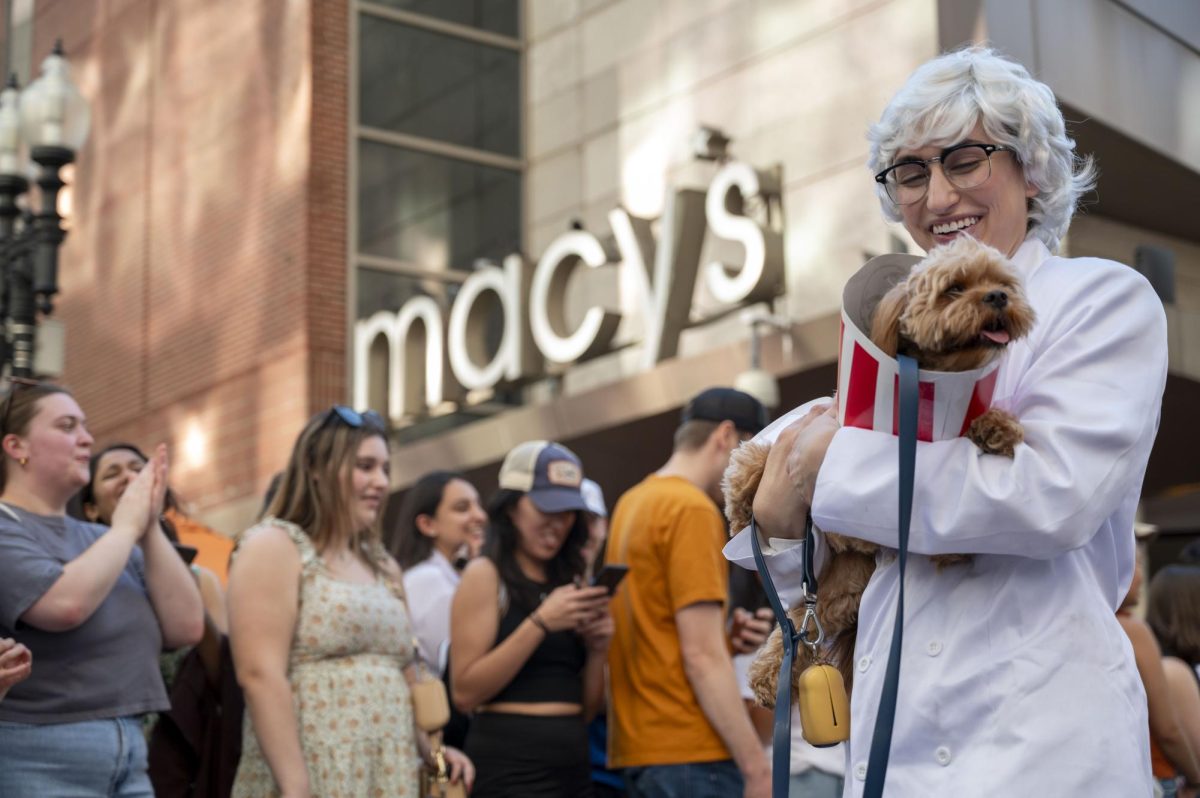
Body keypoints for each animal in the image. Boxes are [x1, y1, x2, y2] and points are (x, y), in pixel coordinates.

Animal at [724, 235, 1036, 705]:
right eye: (954, 288)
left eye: (1002, 283)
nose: (999, 297)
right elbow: (763, 459)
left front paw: (997, 427)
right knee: (752, 468)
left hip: (843, 589)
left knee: (804, 624)